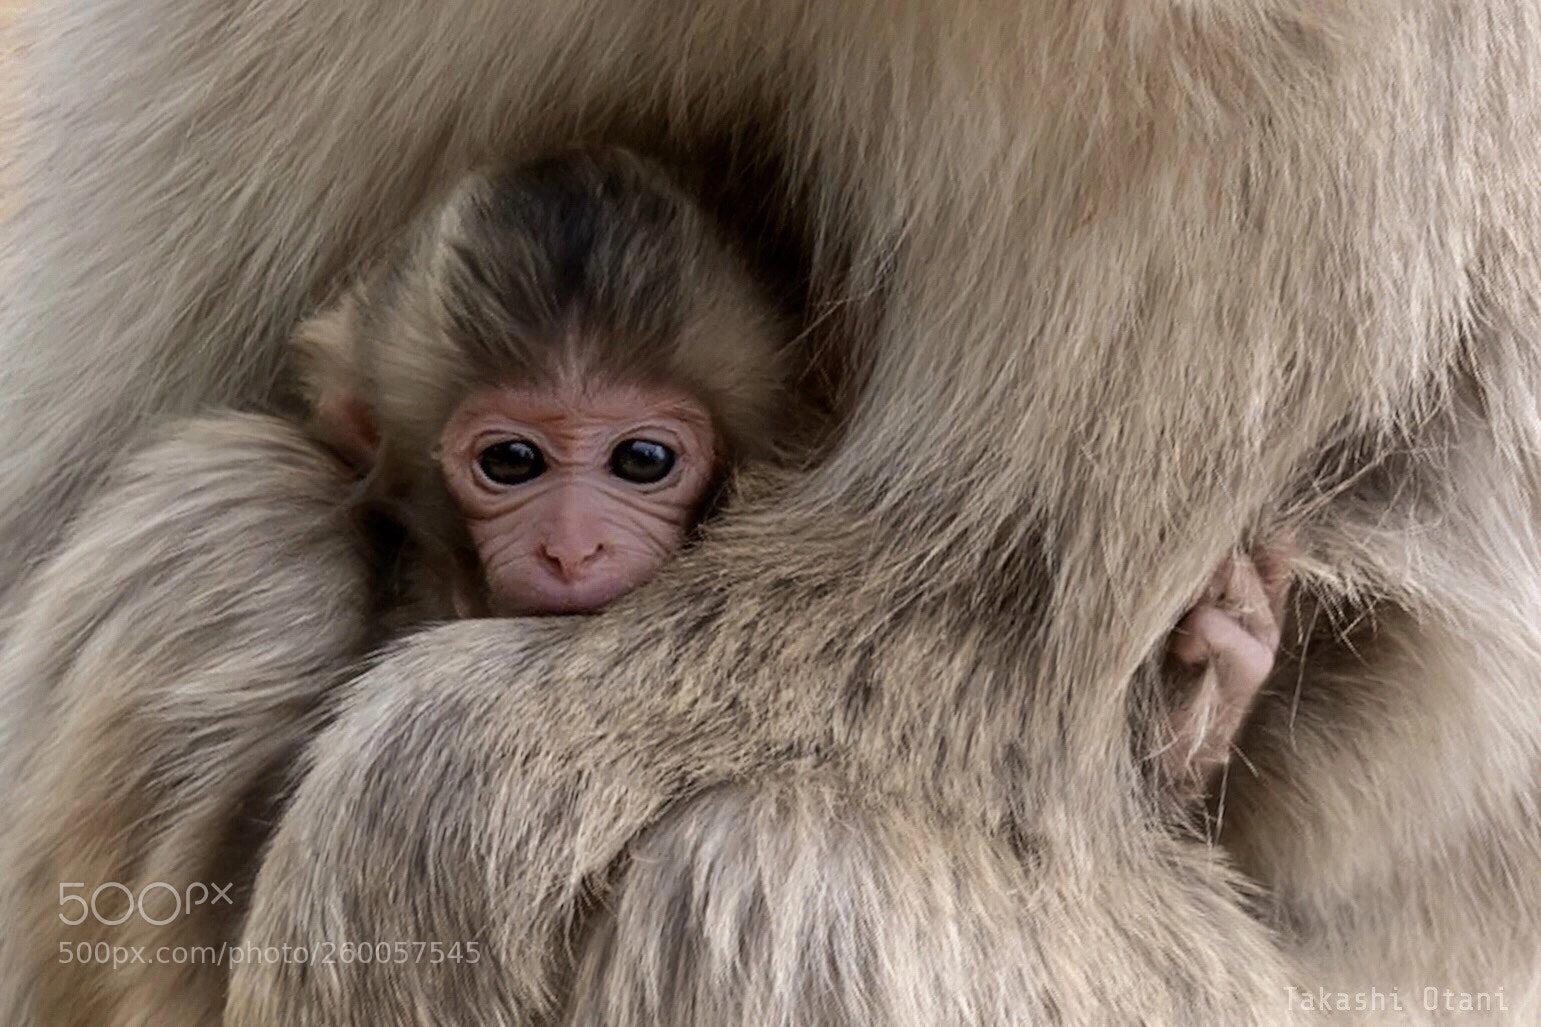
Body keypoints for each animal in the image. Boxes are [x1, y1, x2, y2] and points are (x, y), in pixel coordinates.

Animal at [4, 2, 1541, 1025]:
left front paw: (421, 825)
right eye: (510, 461)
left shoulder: (1348, 81)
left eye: (640, 460)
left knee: (764, 857)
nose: (571, 543)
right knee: (225, 520)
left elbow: (1022, 634)